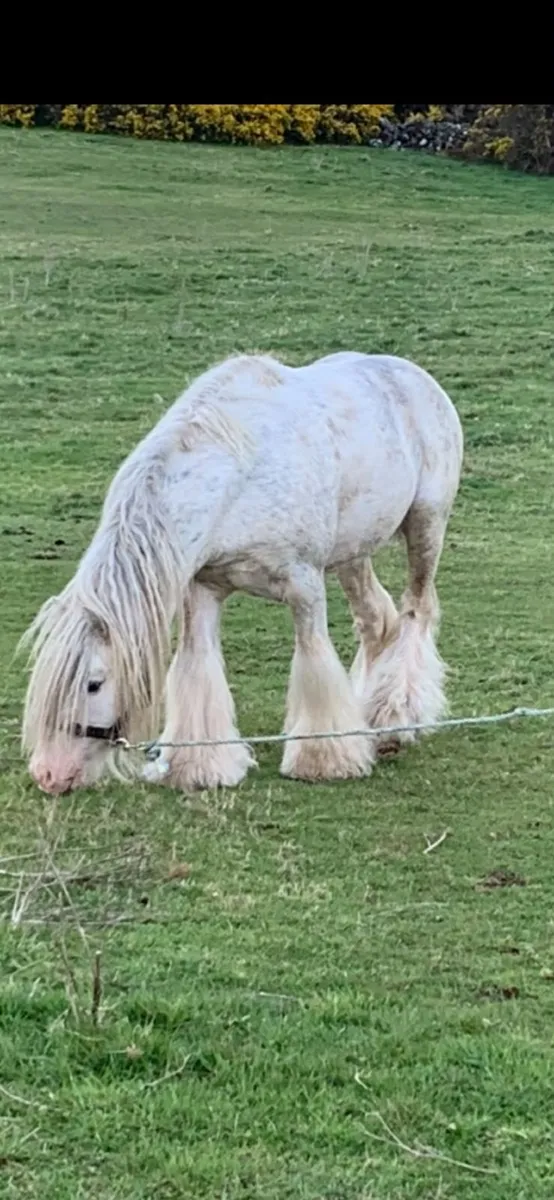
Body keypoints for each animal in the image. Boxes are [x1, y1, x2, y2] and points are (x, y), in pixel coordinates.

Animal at [21, 351, 463, 796]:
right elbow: (198, 668)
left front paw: (324, 759)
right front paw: (197, 765)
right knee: (376, 621)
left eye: (93, 684)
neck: (238, 480)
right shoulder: (203, 589)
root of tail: (413, 375)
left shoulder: (304, 586)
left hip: (426, 526)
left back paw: (395, 717)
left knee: (416, 611)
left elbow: (315, 662)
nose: (49, 774)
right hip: (353, 554)